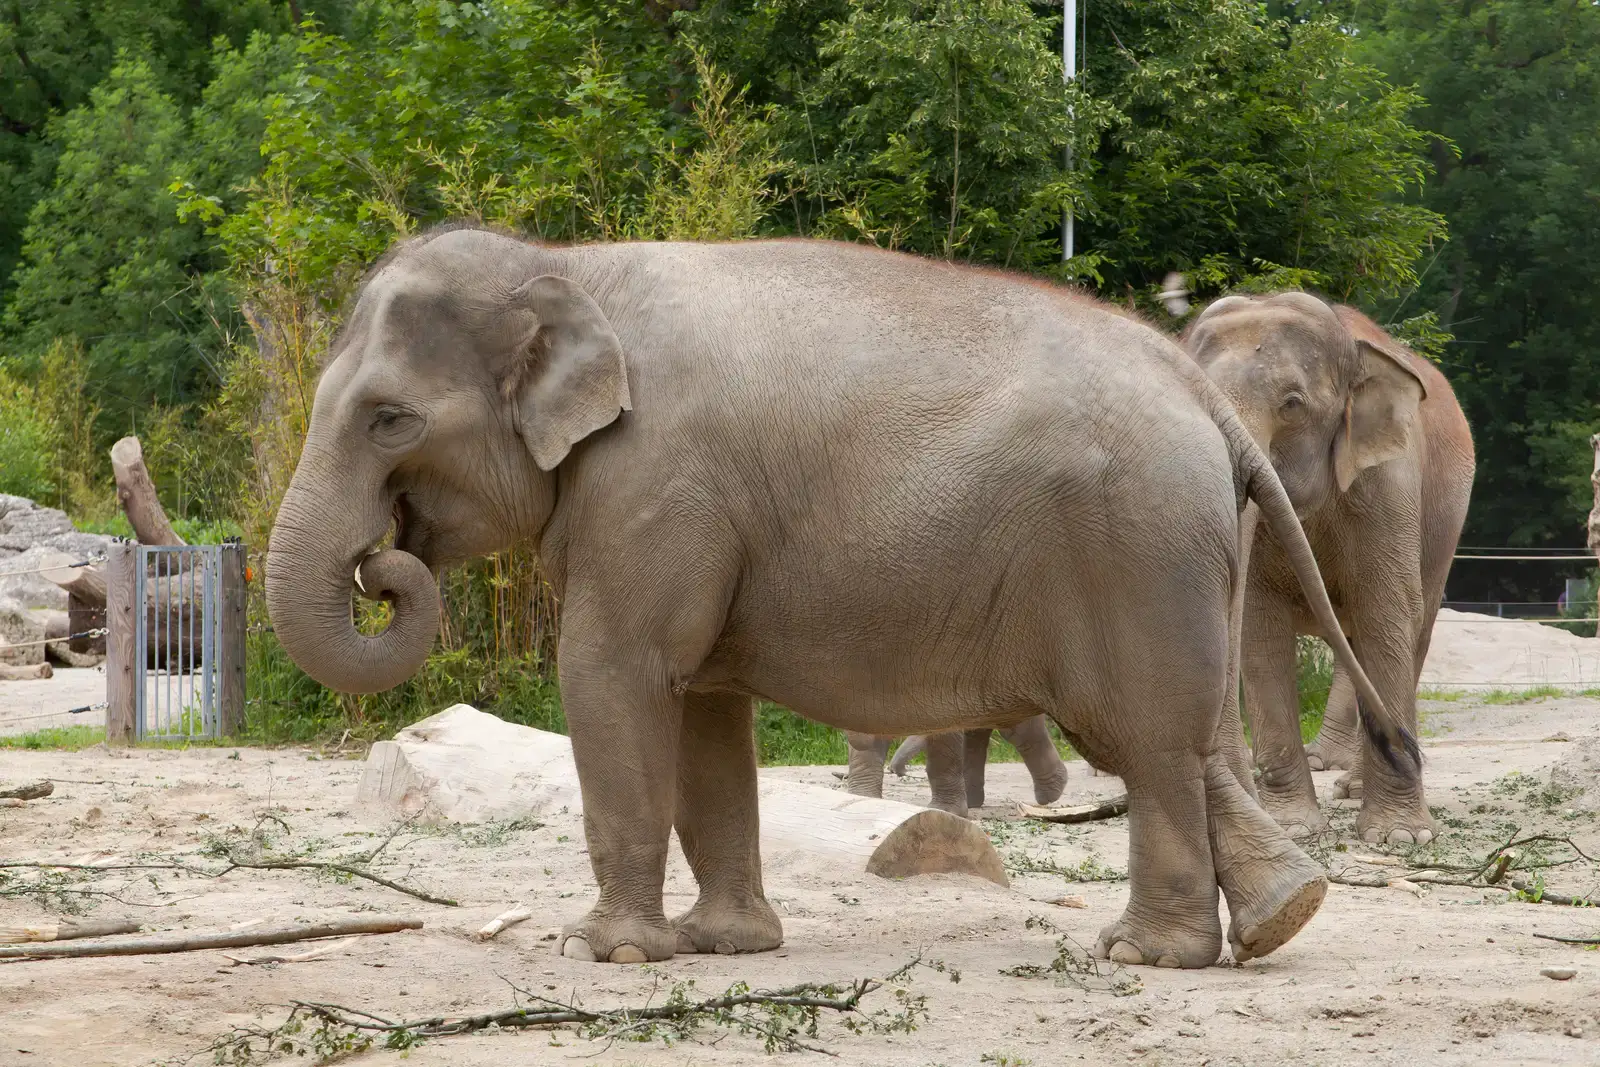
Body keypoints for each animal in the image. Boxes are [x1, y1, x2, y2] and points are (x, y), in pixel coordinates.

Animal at [1183, 292, 1474, 845]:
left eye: (1292, 404)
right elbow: (1261, 627)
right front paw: (1292, 828)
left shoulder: (1389, 485)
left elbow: (1387, 611)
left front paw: (1399, 838)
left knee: (1411, 629)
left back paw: (1357, 787)